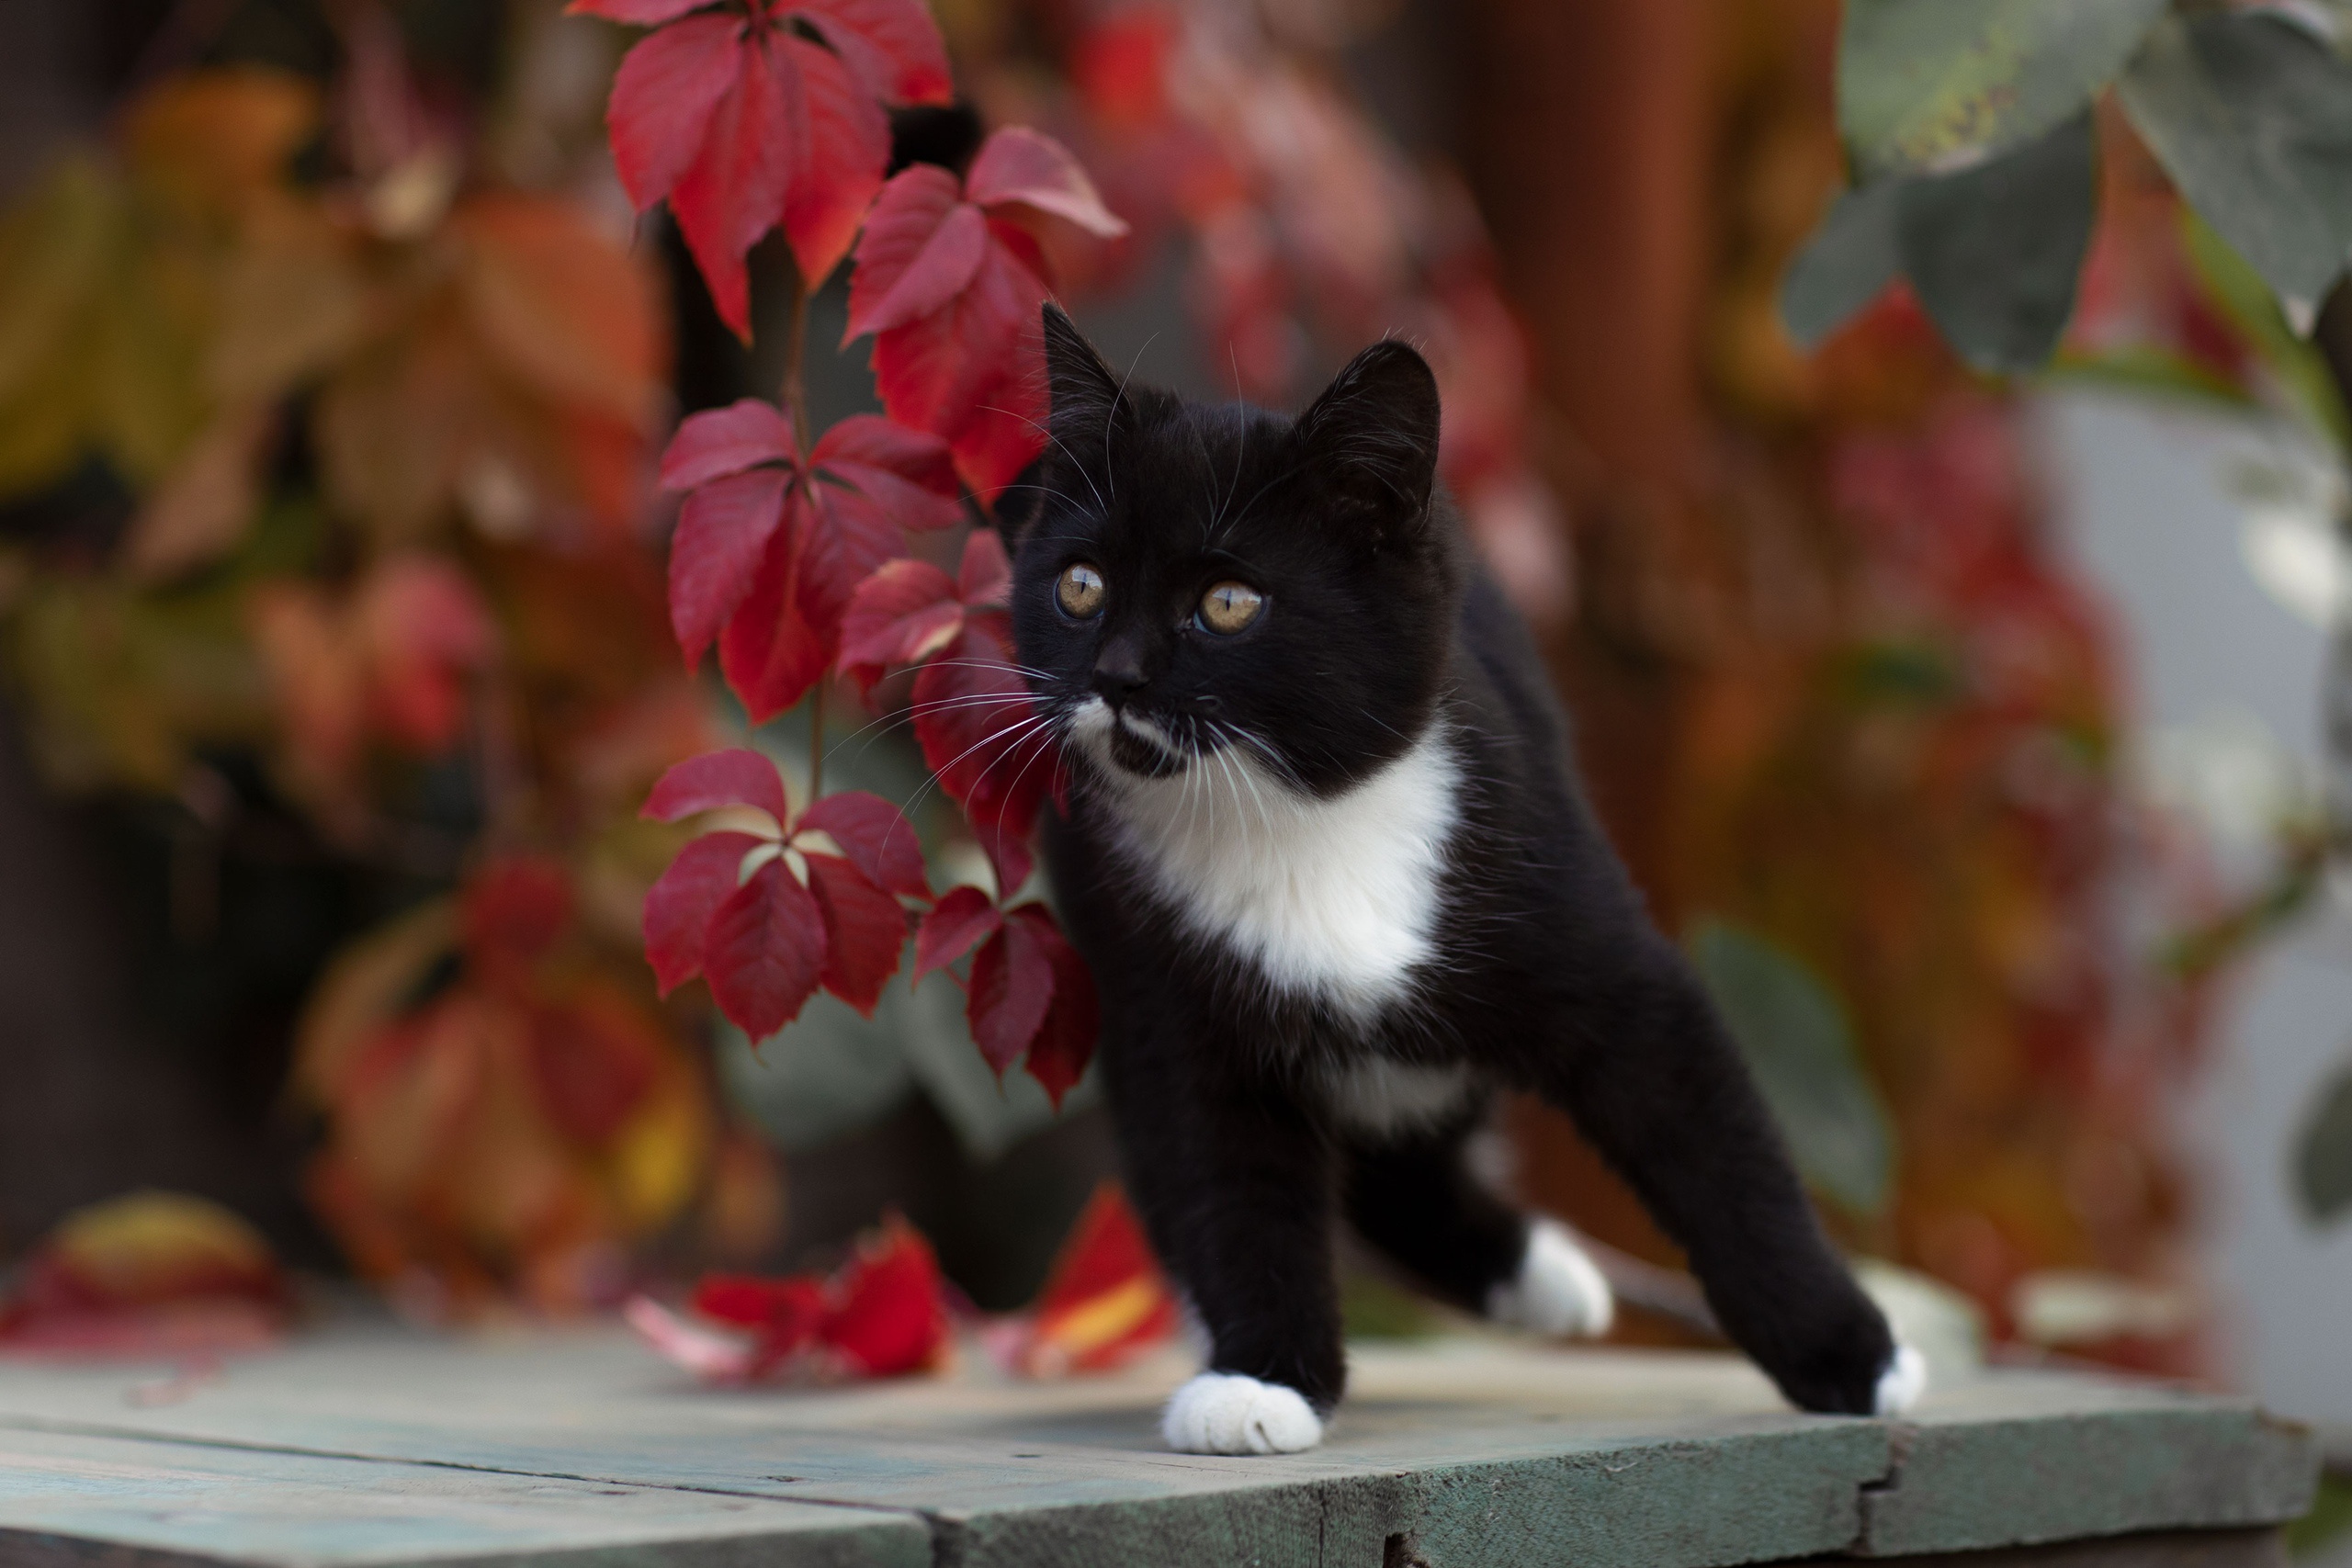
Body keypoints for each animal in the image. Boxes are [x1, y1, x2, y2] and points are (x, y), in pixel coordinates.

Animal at [1001, 305, 1918, 1457]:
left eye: (1229, 603)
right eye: (1078, 586)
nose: (1114, 677)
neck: (1295, 818)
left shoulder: (1603, 949)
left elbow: (1721, 1153)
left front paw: (1855, 1357)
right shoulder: (1169, 1002)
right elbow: (1226, 1180)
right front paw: (1260, 1380)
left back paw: (1548, 1280)